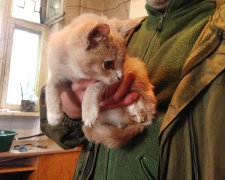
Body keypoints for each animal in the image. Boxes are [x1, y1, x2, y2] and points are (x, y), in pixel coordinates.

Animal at [45, 13, 156, 148]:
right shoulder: (59, 75)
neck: (74, 69)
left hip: (136, 66)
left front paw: (89, 112)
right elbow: (50, 87)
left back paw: (137, 109)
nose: (121, 77)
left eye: (123, 61)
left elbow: (93, 88)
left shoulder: (103, 80)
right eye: (108, 64)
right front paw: (53, 114)